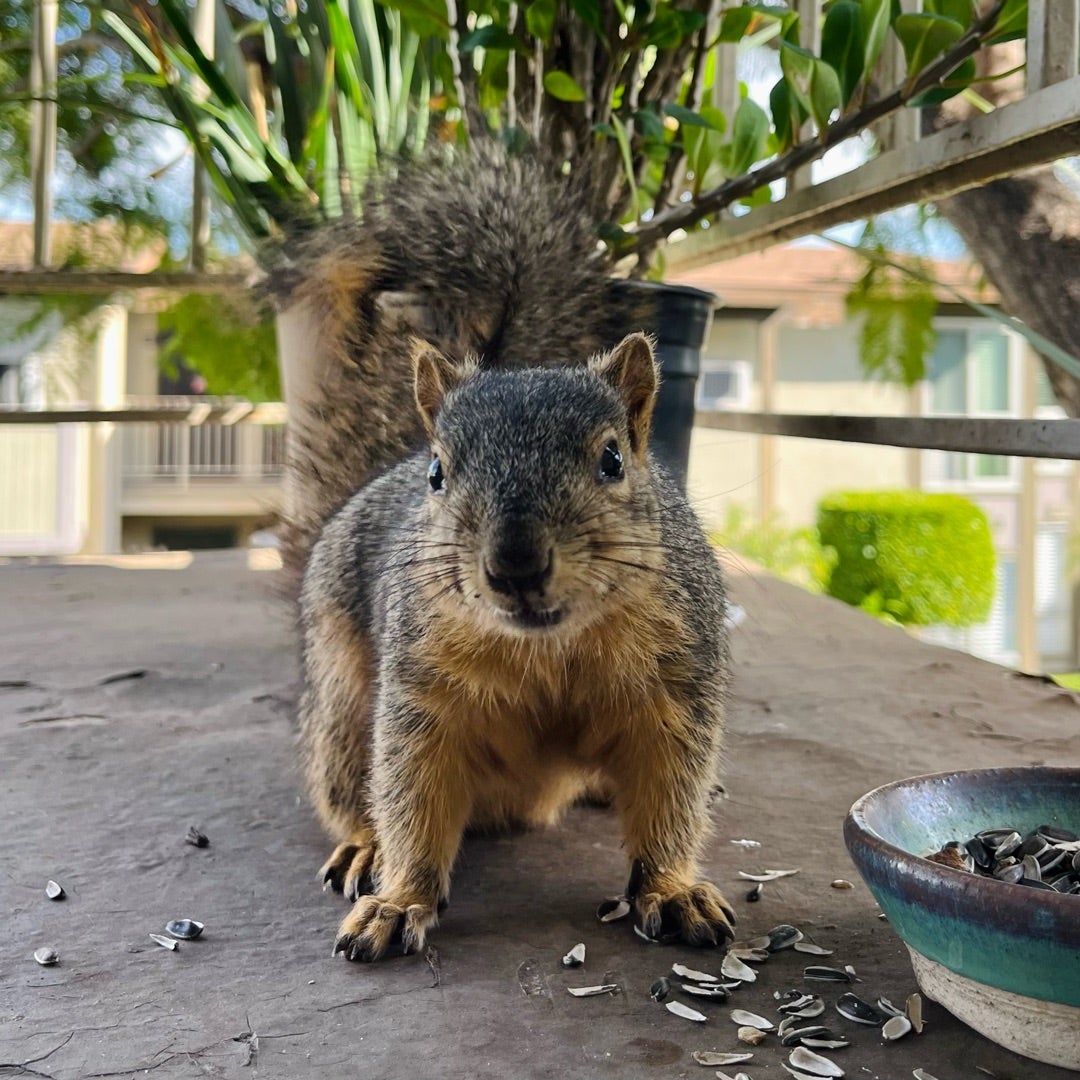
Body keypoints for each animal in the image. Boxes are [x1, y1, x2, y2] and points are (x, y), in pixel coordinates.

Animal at [287, 145, 734, 963]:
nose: (516, 567)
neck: (552, 648)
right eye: (439, 473)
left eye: (614, 459)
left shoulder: (676, 685)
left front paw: (671, 888)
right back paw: (365, 847)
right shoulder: (421, 695)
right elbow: (411, 790)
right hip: (339, 700)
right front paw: (399, 900)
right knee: (350, 785)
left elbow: (670, 794)